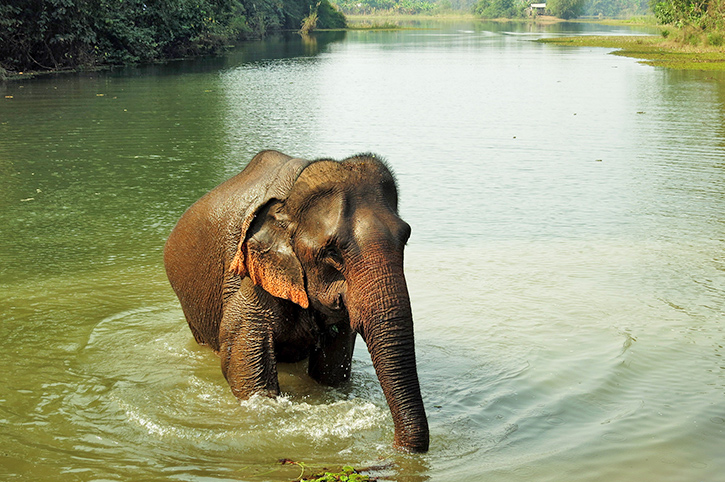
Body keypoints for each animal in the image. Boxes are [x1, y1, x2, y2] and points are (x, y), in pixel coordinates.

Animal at [163, 150, 429, 453]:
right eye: (331, 252)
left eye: (405, 238)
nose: (396, 445)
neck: (288, 204)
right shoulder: (253, 276)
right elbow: (243, 370)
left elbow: (330, 372)